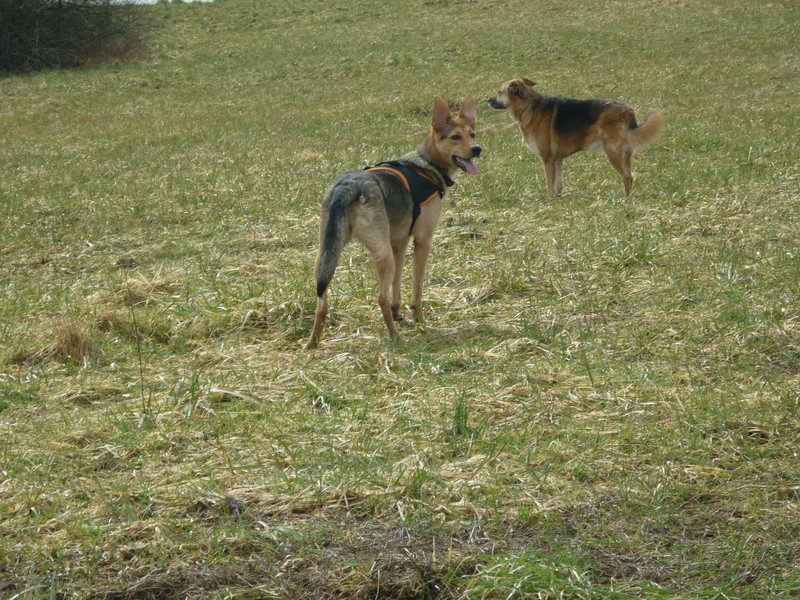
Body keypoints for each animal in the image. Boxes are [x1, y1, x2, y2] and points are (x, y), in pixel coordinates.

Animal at [304, 95, 482, 350]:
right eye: (455, 137)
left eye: (472, 134)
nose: (477, 149)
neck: (426, 164)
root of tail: (347, 186)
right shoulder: (422, 241)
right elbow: (417, 288)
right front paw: (418, 320)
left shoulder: (399, 243)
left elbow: (397, 285)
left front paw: (399, 313)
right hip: (382, 255)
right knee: (381, 299)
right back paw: (395, 337)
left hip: (326, 256)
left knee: (322, 304)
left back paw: (312, 344)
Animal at [488, 77, 664, 195]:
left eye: (499, 92)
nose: (487, 100)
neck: (529, 106)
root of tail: (626, 110)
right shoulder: (557, 160)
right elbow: (558, 184)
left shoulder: (547, 159)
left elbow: (550, 184)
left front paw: (549, 201)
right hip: (625, 154)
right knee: (630, 176)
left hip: (613, 152)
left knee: (627, 177)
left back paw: (625, 200)